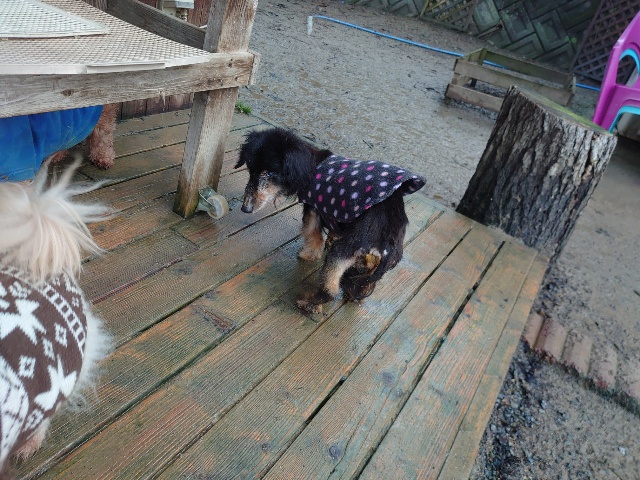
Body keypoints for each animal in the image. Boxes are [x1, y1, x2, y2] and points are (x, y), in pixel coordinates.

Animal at [235, 127, 426, 313]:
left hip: (342, 252)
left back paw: (309, 304)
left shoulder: (313, 210)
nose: (245, 208)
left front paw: (309, 254)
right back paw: (352, 295)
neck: (313, 165)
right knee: (362, 286)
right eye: (250, 170)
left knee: (331, 290)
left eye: (269, 173)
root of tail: (386, 245)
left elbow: (312, 234)